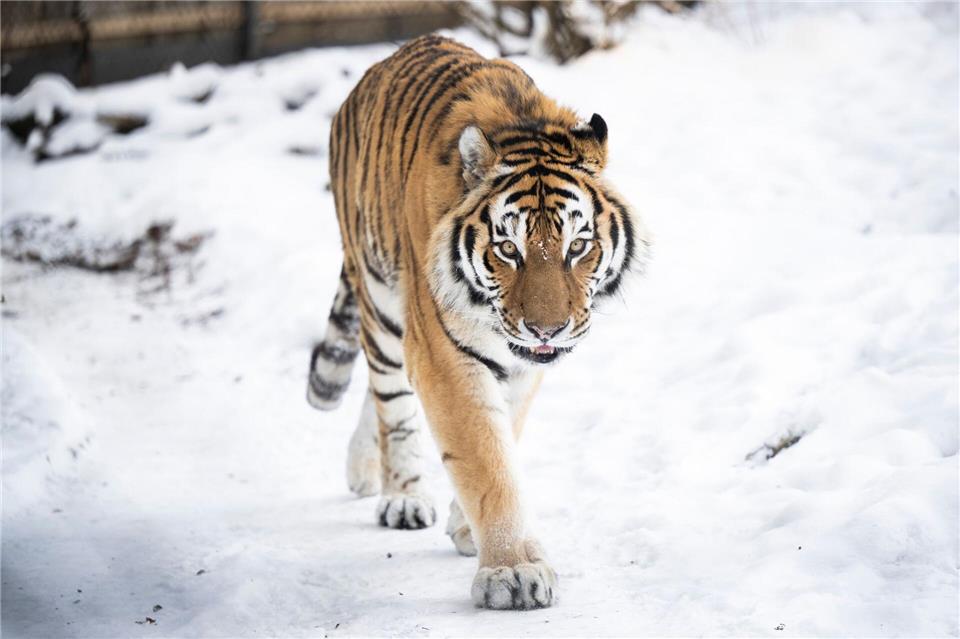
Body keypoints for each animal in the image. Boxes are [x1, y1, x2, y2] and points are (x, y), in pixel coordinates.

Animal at [306, 34, 649, 610]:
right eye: (508, 249)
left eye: (578, 245)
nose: (547, 331)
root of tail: (377, 67)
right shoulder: (443, 353)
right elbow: (485, 459)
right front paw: (512, 571)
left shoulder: (520, 365)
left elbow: (502, 435)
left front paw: (468, 528)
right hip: (380, 300)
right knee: (391, 399)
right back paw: (401, 496)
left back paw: (362, 468)